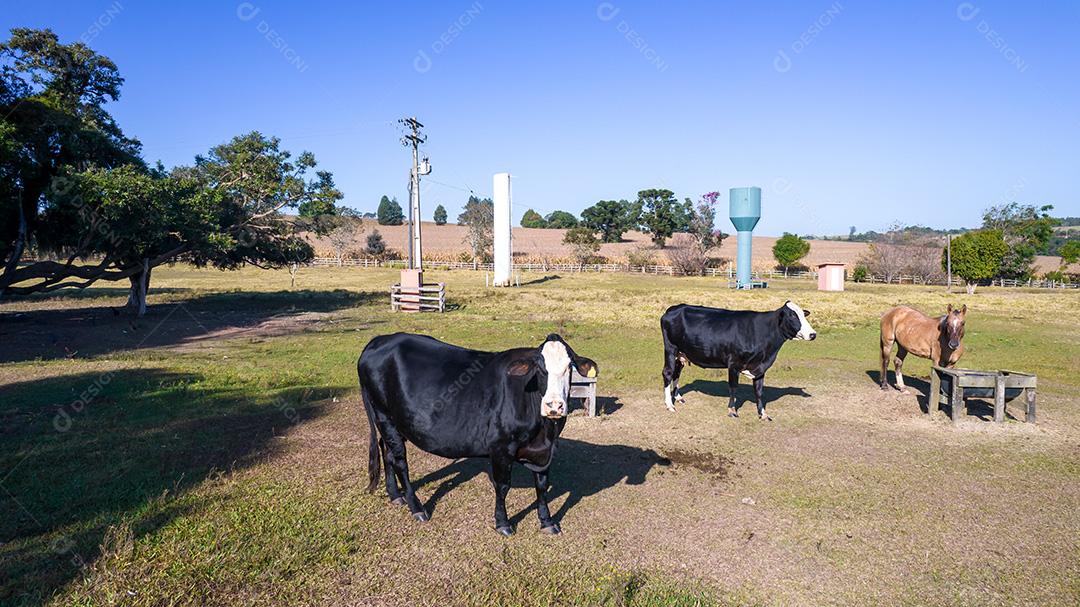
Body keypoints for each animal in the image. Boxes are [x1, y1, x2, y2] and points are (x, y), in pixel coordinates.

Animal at [357, 332, 598, 536]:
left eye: (569, 367)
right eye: (540, 368)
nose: (554, 406)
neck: (544, 432)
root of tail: (382, 339)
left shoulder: (545, 452)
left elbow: (542, 485)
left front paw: (547, 522)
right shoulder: (501, 447)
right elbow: (502, 486)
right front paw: (503, 523)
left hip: (393, 422)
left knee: (387, 452)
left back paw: (395, 496)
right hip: (384, 416)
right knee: (399, 461)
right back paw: (417, 508)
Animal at [660, 301, 816, 420]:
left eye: (803, 315)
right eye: (792, 316)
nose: (813, 334)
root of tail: (675, 308)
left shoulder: (760, 368)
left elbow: (759, 391)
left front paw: (763, 414)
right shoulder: (734, 364)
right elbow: (733, 388)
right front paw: (732, 410)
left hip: (682, 353)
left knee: (677, 373)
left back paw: (678, 397)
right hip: (671, 348)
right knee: (668, 373)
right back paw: (669, 405)